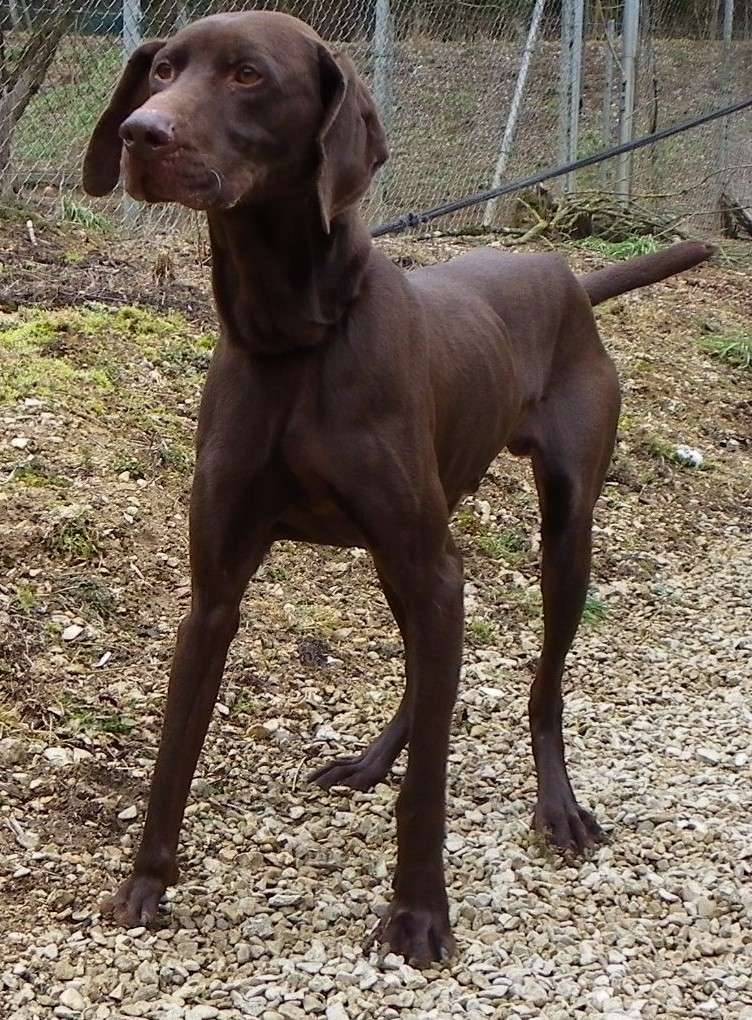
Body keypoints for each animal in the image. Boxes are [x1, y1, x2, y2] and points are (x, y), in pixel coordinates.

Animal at [85, 9, 714, 962]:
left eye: (247, 74)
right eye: (161, 69)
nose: (139, 135)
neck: (296, 339)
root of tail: (564, 271)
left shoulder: (432, 565)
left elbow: (429, 790)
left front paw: (419, 912)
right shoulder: (216, 590)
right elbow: (171, 756)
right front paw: (146, 884)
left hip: (563, 535)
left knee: (543, 684)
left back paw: (559, 806)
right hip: (402, 558)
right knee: (427, 671)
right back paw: (378, 756)